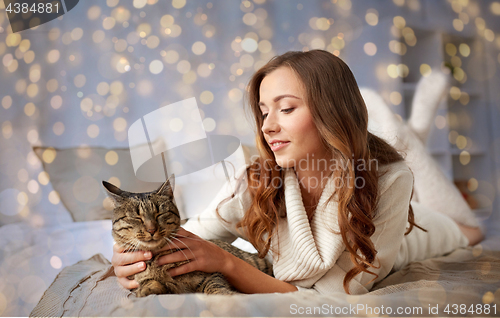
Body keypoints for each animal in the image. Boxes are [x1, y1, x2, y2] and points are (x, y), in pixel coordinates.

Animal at [102, 175, 274, 296]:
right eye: (137, 217)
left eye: (160, 214)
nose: (151, 230)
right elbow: (148, 283)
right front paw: (147, 289)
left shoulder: (210, 275)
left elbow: (216, 288)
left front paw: (228, 296)